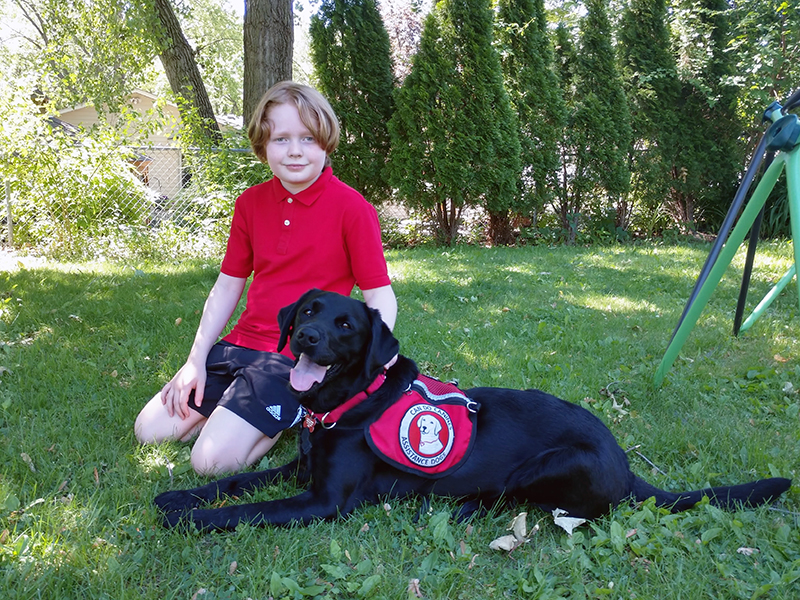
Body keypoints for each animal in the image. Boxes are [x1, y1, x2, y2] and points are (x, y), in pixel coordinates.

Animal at [153, 290, 792, 528]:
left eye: (346, 325)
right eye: (308, 310)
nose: (307, 337)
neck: (348, 402)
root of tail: (626, 463)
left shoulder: (325, 501)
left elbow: (246, 510)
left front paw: (191, 519)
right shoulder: (301, 469)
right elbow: (235, 485)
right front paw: (180, 497)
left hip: (556, 462)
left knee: (518, 500)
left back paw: (463, 506)